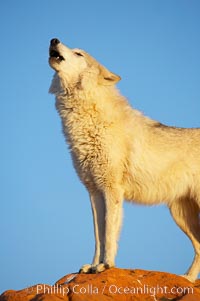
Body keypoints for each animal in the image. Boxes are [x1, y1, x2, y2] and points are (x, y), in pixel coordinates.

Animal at [48, 38, 200, 282]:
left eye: (79, 54)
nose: (54, 40)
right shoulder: (94, 192)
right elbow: (98, 235)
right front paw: (93, 265)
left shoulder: (112, 190)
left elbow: (109, 232)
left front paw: (106, 265)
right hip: (179, 214)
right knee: (199, 247)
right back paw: (186, 279)